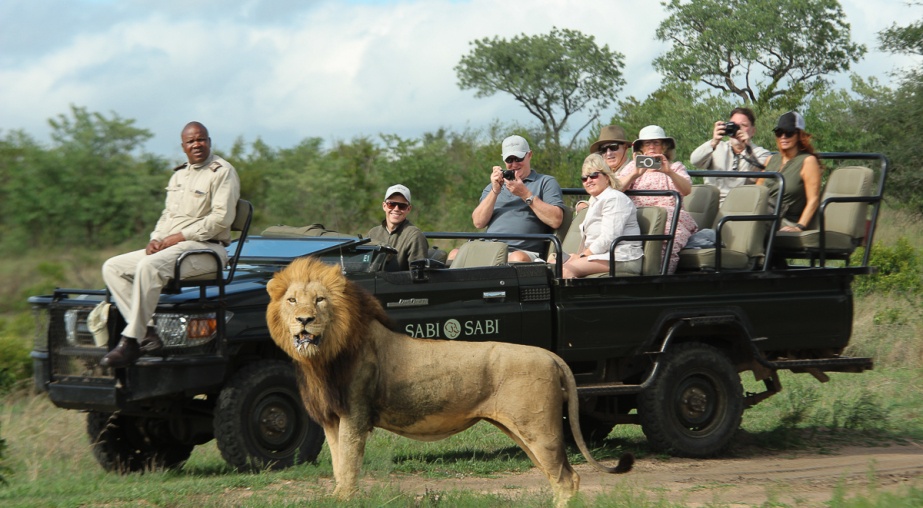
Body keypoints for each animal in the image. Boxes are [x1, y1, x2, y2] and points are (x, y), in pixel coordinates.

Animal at [266, 257, 633, 507]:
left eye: (320, 300)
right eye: (292, 300)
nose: (304, 320)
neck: (324, 356)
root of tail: (551, 356)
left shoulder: (355, 414)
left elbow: (348, 466)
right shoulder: (332, 418)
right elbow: (338, 465)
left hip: (540, 430)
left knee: (568, 479)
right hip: (527, 431)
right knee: (560, 477)